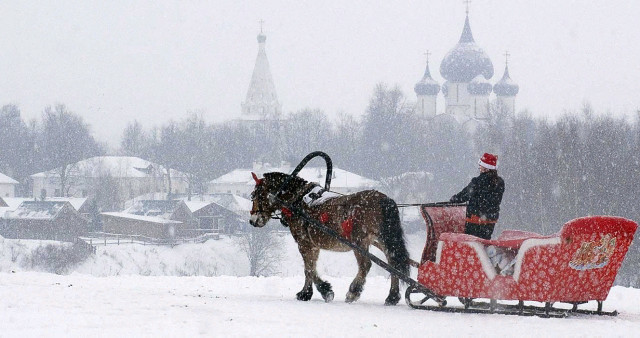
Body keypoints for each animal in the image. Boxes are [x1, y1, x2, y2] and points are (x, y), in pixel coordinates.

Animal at [248, 172, 408, 306]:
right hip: (381, 240)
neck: (298, 201)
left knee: (365, 265)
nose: (252, 220)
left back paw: (353, 291)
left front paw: (320, 291)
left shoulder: (304, 243)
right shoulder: (313, 245)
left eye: (256, 195)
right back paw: (392, 297)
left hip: (360, 241)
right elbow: (311, 267)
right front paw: (310, 292)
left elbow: (309, 269)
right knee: (393, 262)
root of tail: (383, 199)